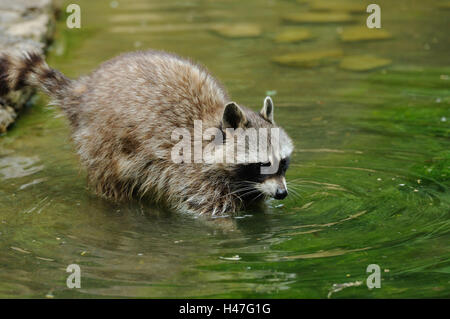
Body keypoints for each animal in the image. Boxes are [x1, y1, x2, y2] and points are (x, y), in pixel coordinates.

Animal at [0, 50, 294, 218]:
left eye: (282, 162)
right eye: (261, 163)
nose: (282, 193)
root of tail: (83, 92)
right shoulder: (191, 174)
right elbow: (208, 211)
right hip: (101, 144)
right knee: (112, 186)